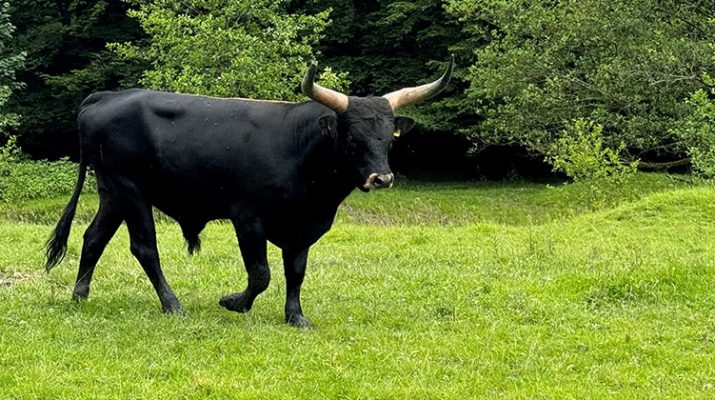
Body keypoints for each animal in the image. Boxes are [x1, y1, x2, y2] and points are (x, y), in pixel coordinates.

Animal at [45, 56, 454, 327]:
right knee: (145, 249)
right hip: (131, 191)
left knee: (93, 238)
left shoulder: (303, 228)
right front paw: (234, 302)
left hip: (112, 193)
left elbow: (296, 272)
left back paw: (80, 295)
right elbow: (261, 274)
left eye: (389, 138)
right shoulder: (248, 219)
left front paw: (296, 317)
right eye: (353, 137)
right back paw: (173, 305)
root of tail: (105, 97)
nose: (381, 178)